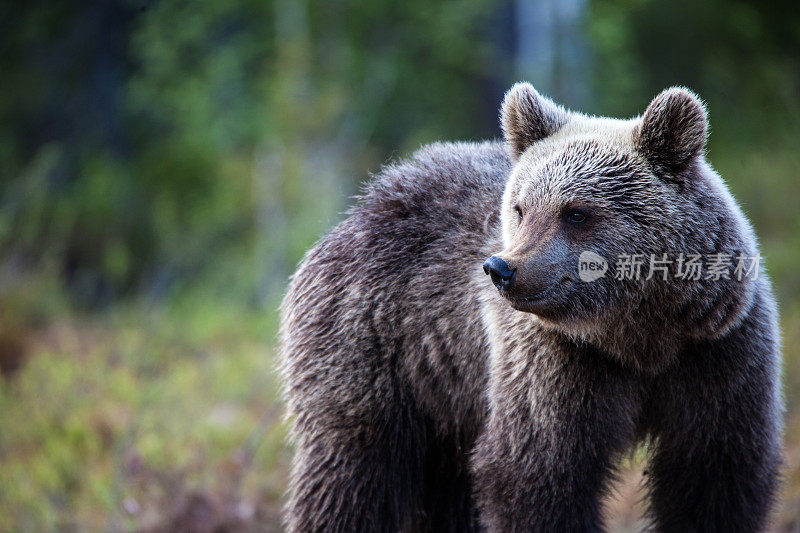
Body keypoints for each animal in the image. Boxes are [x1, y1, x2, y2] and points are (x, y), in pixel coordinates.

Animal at [280, 83, 780, 532]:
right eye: (520, 207)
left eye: (576, 212)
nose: (501, 268)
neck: (638, 336)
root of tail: (363, 206)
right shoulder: (557, 364)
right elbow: (538, 472)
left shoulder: (717, 355)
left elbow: (714, 476)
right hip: (372, 341)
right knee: (350, 466)